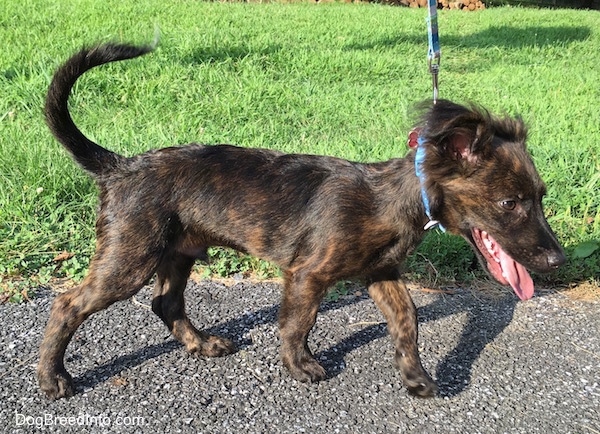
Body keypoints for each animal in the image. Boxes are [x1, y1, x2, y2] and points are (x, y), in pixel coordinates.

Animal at [38, 43, 568, 400]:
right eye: (510, 203)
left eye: (540, 198)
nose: (559, 261)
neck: (395, 200)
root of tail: (121, 166)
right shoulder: (307, 273)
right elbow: (298, 322)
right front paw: (300, 366)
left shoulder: (381, 274)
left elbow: (408, 321)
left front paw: (415, 376)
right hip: (130, 255)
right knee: (67, 305)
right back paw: (52, 378)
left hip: (179, 250)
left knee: (165, 303)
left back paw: (201, 344)